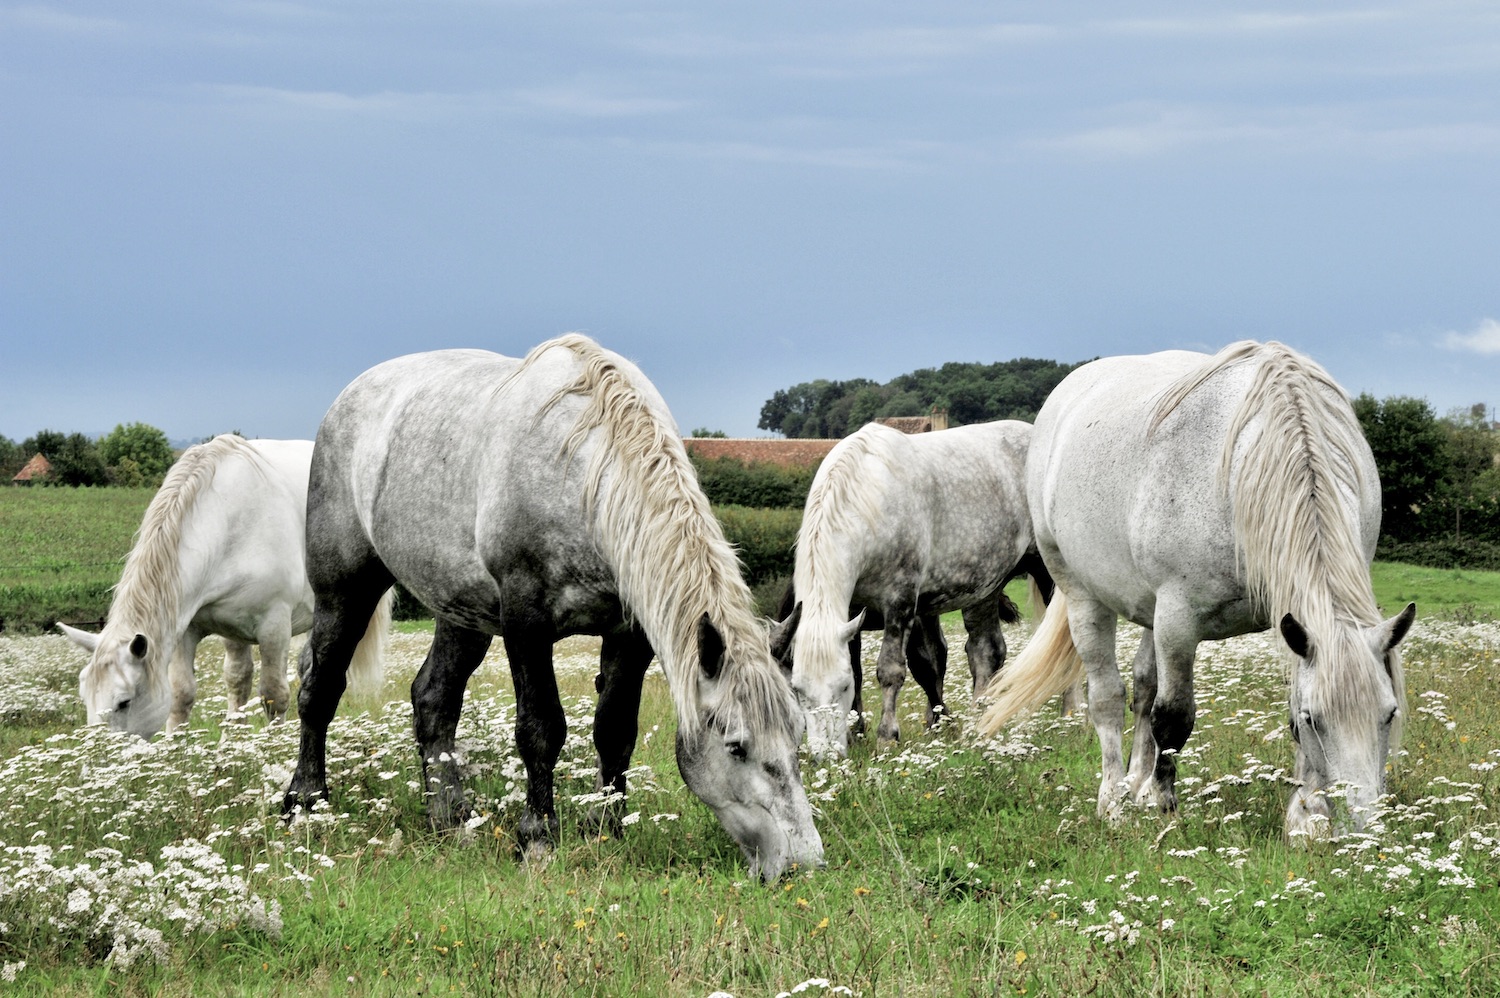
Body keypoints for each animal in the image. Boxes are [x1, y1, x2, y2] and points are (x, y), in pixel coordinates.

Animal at [63, 432, 393, 735]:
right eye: (85, 697)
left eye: (124, 702)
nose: (102, 753)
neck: (228, 521)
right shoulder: (189, 629)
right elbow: (186, 692)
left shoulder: (274, 627)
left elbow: (274, 694)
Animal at [282, 333, 822, 882]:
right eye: (736, 745)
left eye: (798, 734)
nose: (802, 863)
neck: (584, 476)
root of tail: (347, 401)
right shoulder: (526, 624)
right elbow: (541, 728)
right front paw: (538, 838)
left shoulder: (629, 634)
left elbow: (614, 730)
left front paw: (606, 828)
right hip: (345, 592)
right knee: (319, 690)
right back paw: (305, 804)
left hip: (461, 615)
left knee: (434, 700)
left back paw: (450, 817)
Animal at [978, 342, 1410, 834]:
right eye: (1313, 719)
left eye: (1389, 713)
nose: (1363, 831)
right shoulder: (1178, 620)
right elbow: (1173, 717)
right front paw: (1163, 806)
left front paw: (1303, 820)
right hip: (1083, 595)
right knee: (1108, 698)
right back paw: (1113, 802)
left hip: (1147, 610)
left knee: (1143, 688)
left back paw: (1134, 784)